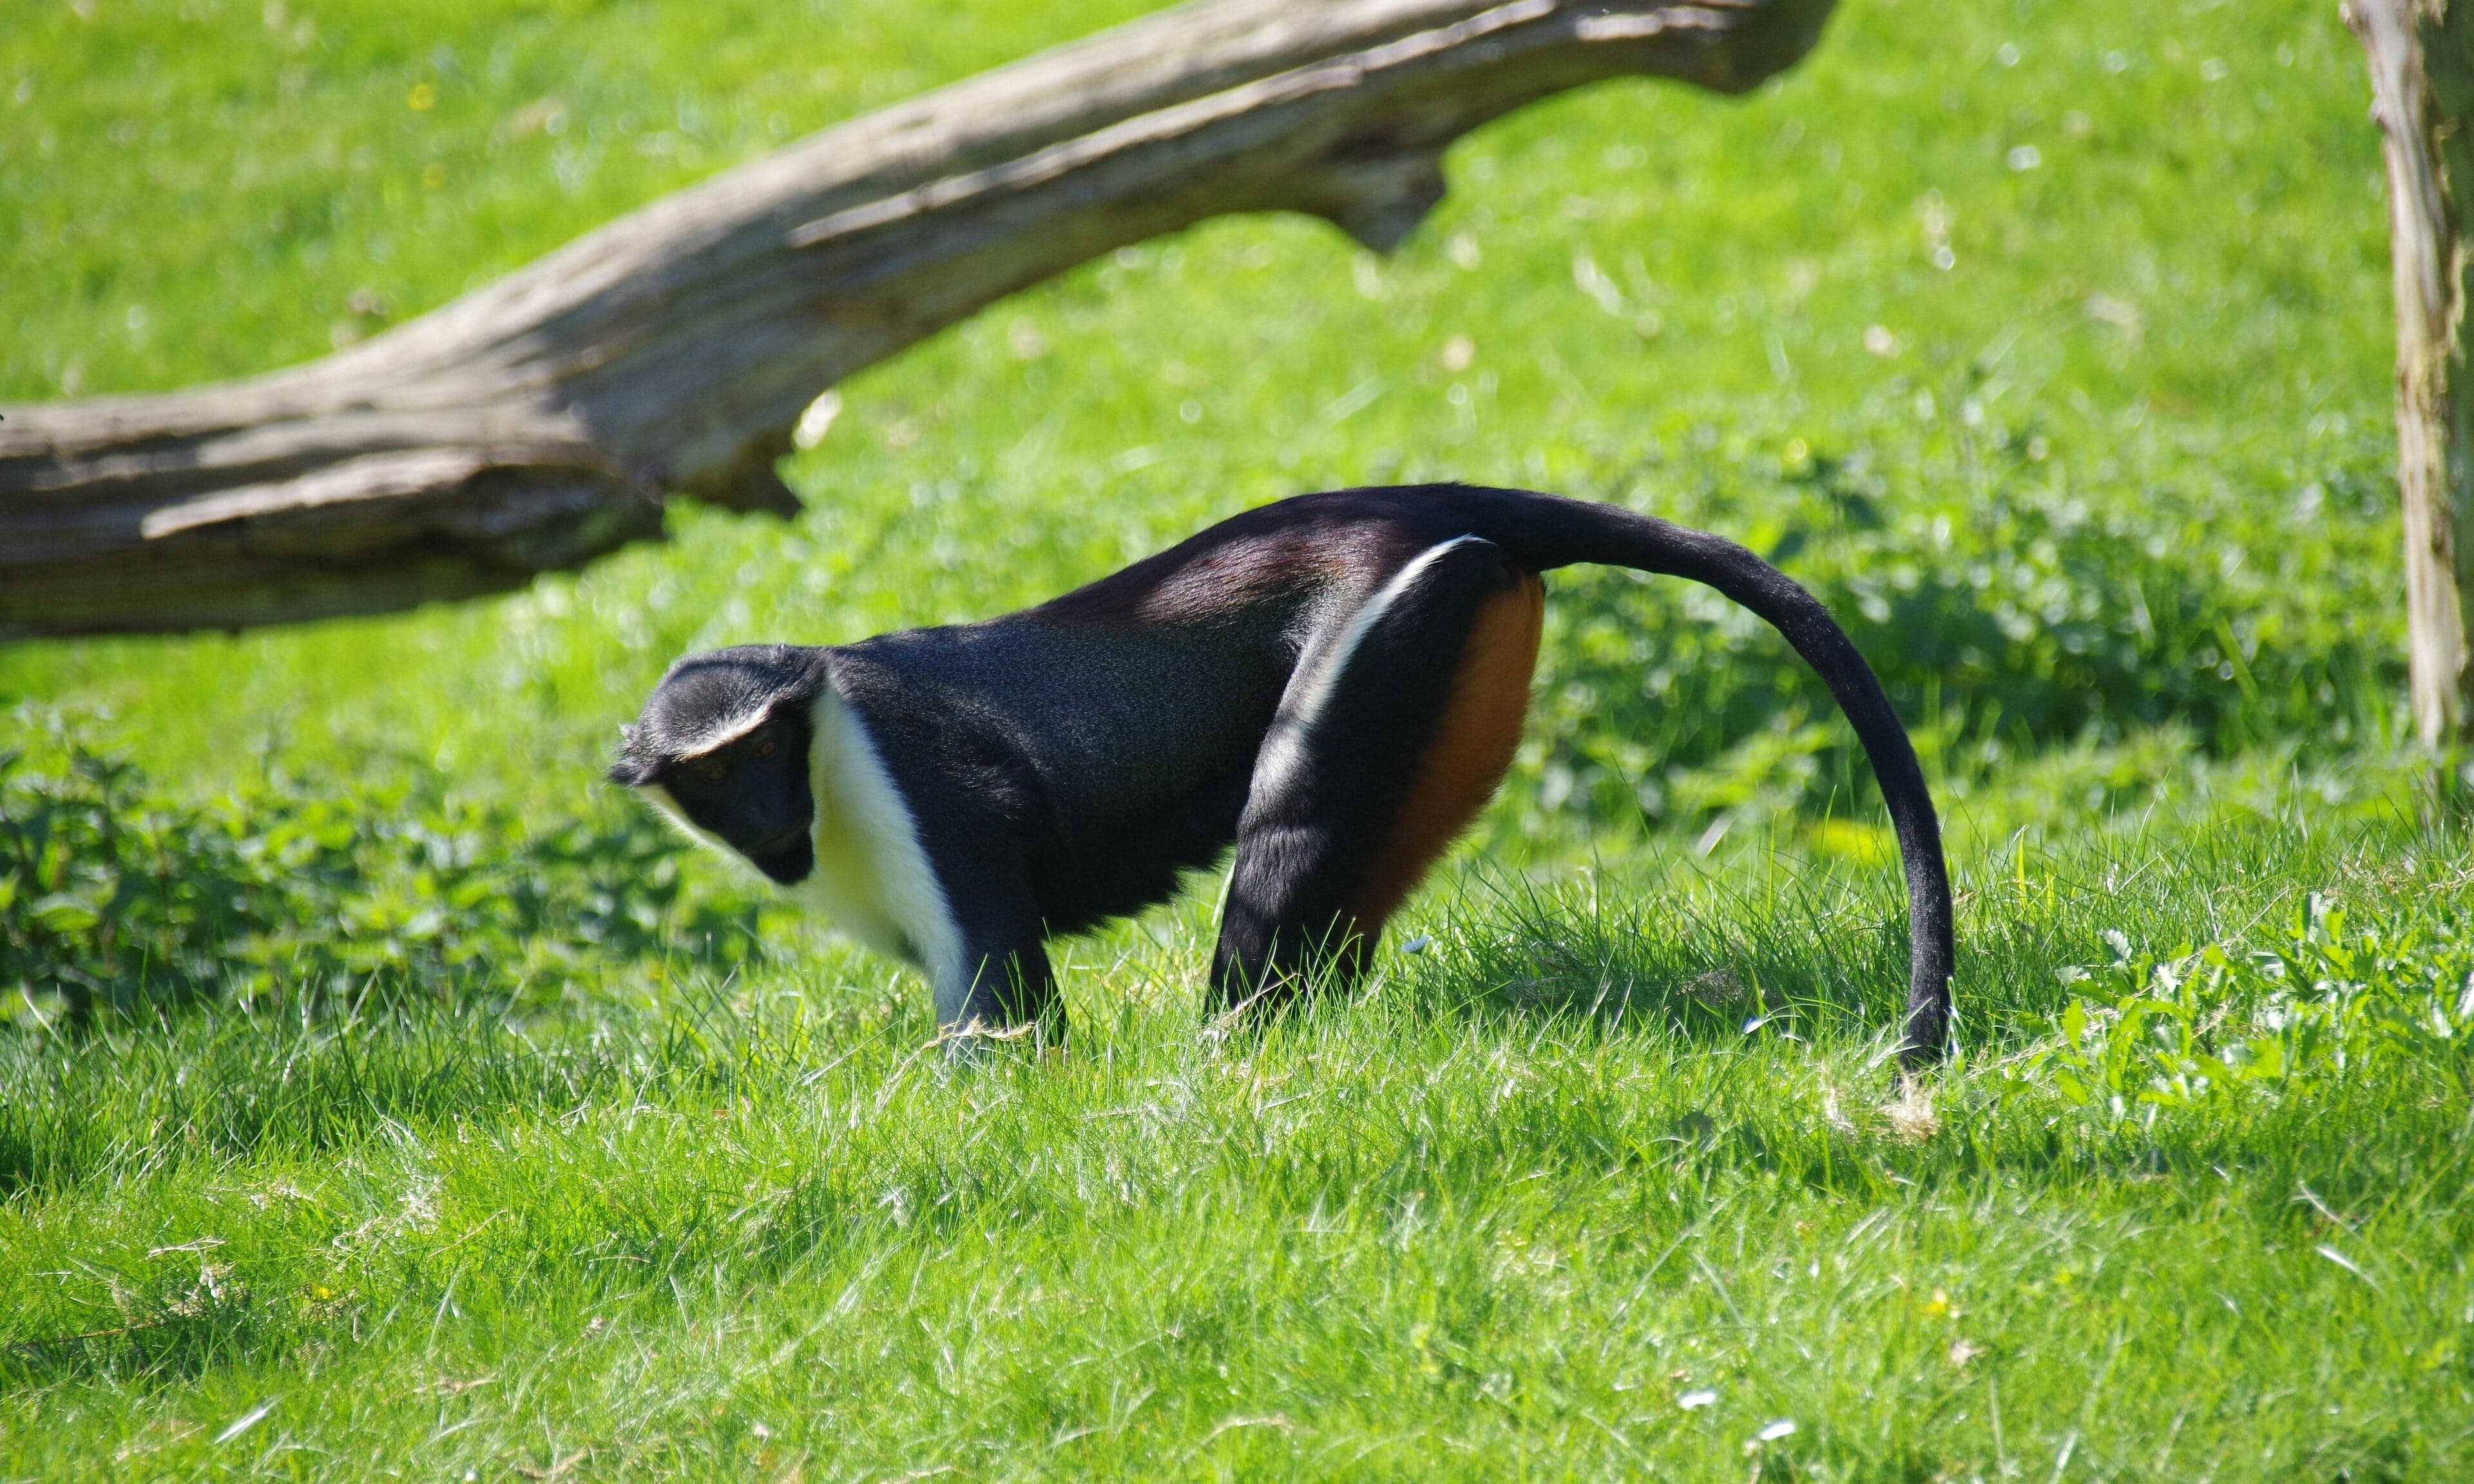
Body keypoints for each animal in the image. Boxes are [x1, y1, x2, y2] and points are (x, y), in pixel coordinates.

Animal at [611, 484, 1954, 1066]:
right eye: (716, 774)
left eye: (762, 748)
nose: (769, 816)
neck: (829, 738)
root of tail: (1412, 499)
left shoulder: (926, 794)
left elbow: (1003, 1005)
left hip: (1387, 632)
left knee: (1291, 832)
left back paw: (1225, 1062)